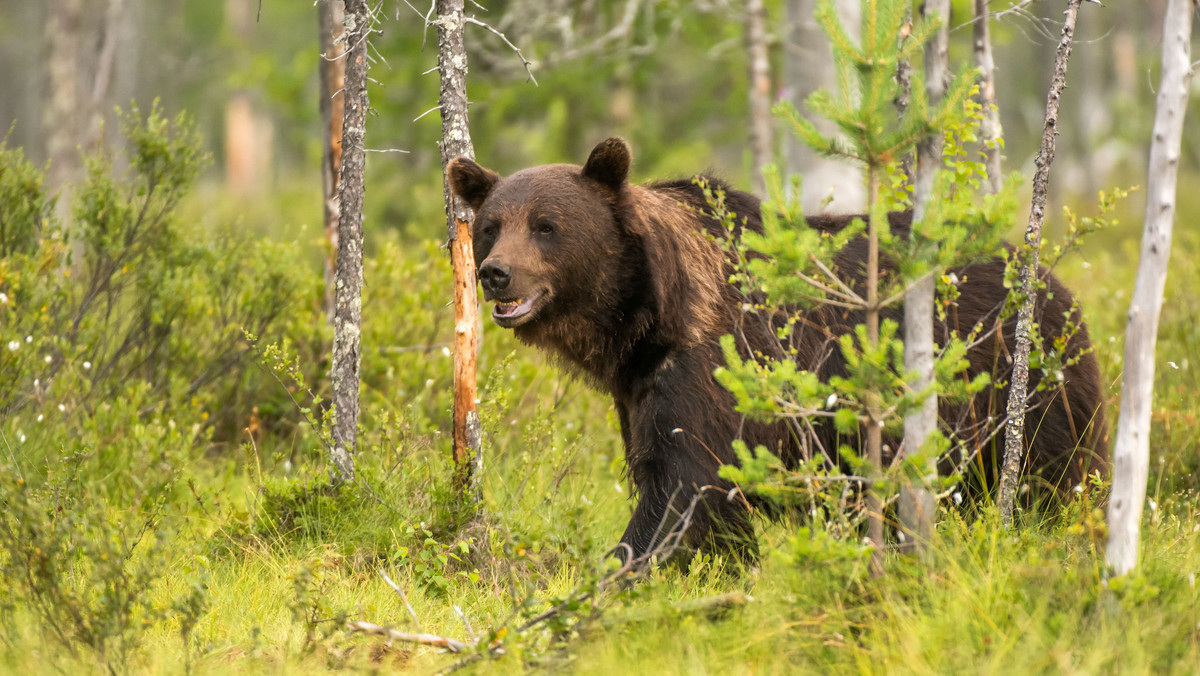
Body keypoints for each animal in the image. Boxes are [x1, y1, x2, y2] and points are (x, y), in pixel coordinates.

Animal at [448, 138, 1104, 566]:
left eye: (546, 225)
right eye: (492, 224)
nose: (496, 274)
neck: (647, 315)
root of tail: (1052, 282)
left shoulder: (716, 367)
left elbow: (680, 490)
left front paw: (619, 572)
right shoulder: (639, 388)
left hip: (1026, 390)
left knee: (1055, 478)